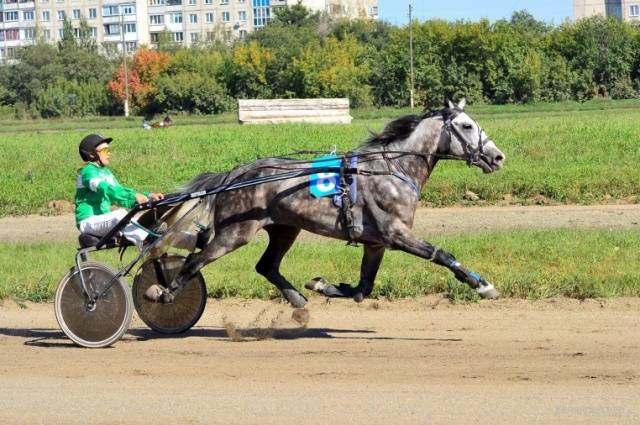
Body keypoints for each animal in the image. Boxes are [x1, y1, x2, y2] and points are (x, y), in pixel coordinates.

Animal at [144, 101, 504, 310]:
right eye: (467, 126)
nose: (498, 157)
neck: (393, 169)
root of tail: (236, 173)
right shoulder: (396, 233)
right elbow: (441, 254)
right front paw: (483, 285)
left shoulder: (376, 242)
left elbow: (362, 288)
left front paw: (321, 284)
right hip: (234, 233)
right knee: (195, 261)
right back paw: (165, 293)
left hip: (284, 229)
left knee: (266, 266)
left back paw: (296, 298)